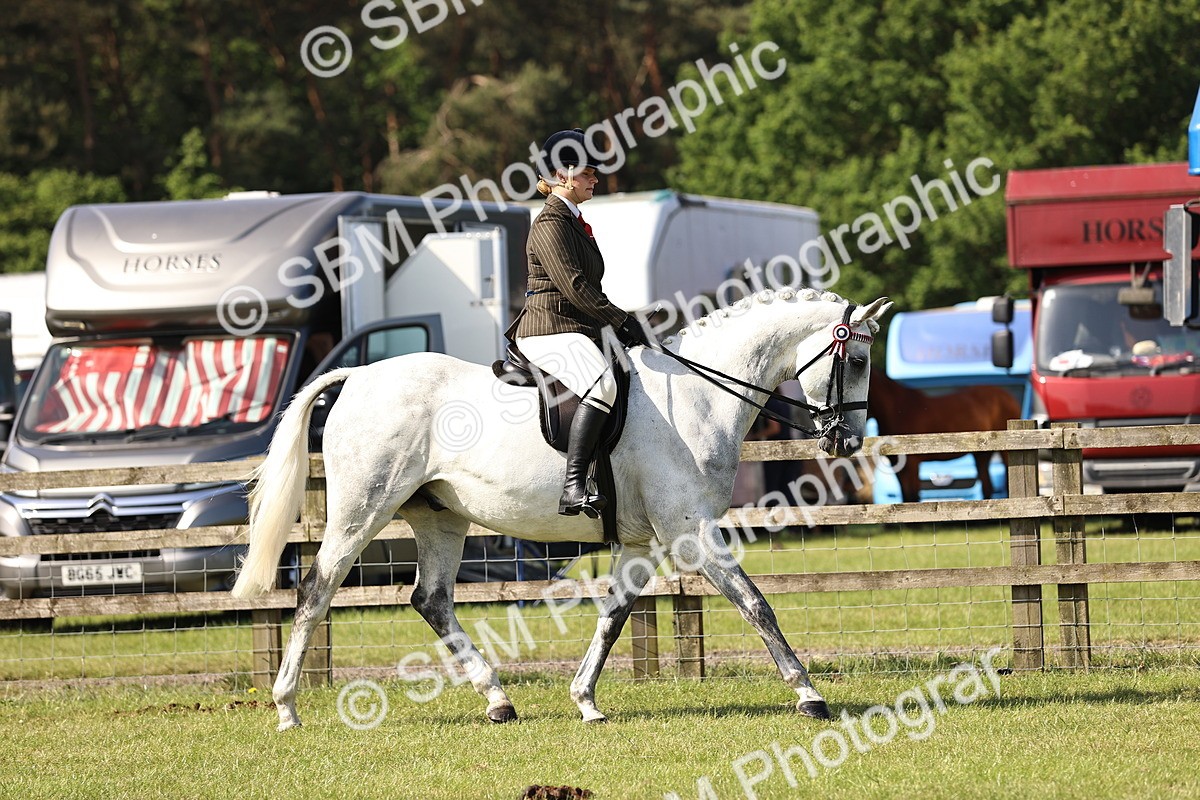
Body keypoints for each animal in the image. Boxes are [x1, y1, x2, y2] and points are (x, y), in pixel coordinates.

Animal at [231, 288, 892, 731]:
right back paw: (287, 709)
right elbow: (757, 605)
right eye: (857, 361)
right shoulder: (692, 534)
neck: (697, 396)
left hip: (441, 517)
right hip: (361, 509)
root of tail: (359, 376)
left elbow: (614, 616)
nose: (845, 442)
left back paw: (498, 701)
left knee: (431, 599)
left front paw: (586, 700)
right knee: (316, 589)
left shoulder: (642, 544)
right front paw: (809, 696)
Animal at [869, 367, 1020, 502]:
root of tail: (1008, 397)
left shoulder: (912, 464)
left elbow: (913, 497)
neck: (897, 410)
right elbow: (906, 497)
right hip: (982, 455)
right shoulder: (898, 466)